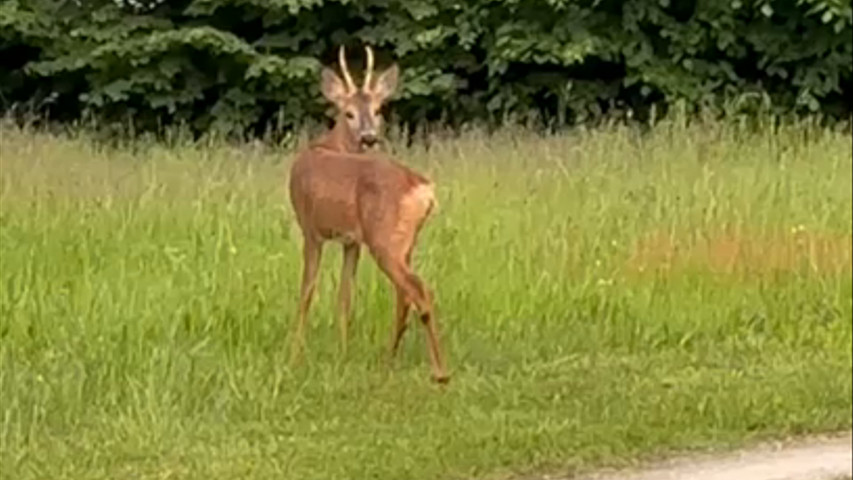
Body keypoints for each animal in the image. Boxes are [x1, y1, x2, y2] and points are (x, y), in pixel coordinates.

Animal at [286, 45, 446, 382]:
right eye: (349, 112)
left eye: (378, 110)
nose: (370, 137)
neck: (327, 145)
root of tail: (422, 188)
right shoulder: (352, 241)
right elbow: (345, 296)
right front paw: (343, 352)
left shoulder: (310, 229)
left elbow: (306, 292)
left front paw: (293, 354)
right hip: (403, 242)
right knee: (404, 295)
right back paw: (389, 357)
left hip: (383, 239)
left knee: (419, 290)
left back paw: (440, 372)